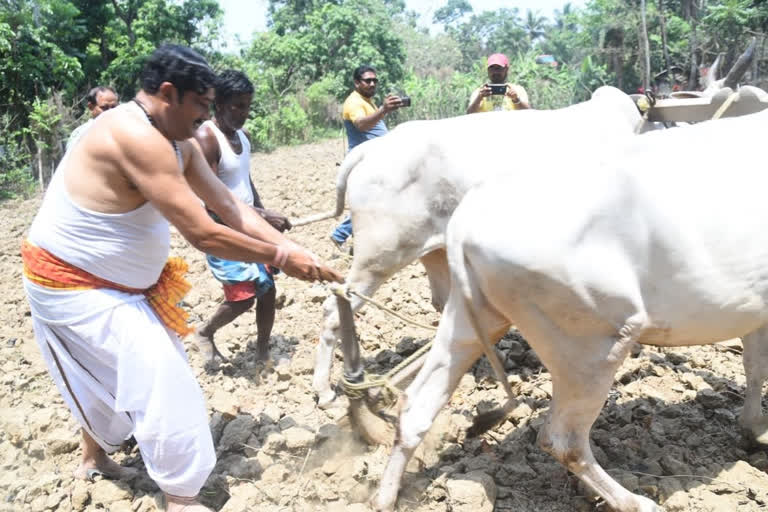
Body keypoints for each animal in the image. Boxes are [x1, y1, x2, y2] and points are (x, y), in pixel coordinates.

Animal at [376, 106, 768, 510]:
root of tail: (463, 224)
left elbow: (755, 367)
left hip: (471, 319)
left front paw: (755, 429)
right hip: (595, 343)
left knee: (416, 407)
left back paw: (384, 497)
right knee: (562, 440)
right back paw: (633, 500)